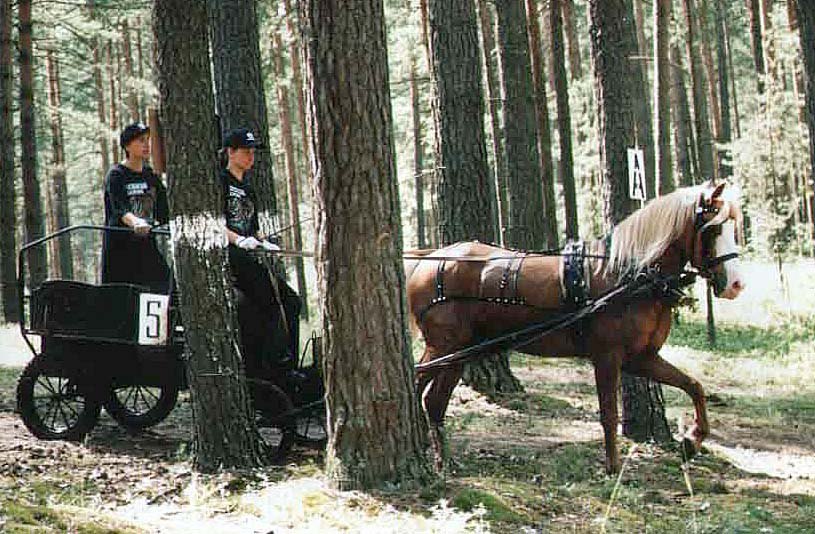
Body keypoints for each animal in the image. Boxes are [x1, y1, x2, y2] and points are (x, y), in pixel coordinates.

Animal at [408, 183, 744, 474]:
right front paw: (613, 468)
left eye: (733, 228)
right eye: (712, 229)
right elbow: (609, 413)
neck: (631, 275)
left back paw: (443, 462)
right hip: (444, 347)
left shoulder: (642, 358)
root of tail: (428, 260)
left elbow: (694, 385)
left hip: (461, 352)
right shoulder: (607, 357)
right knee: (418, 385)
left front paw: (692, 441)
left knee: (434, 402)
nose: (736, 285)